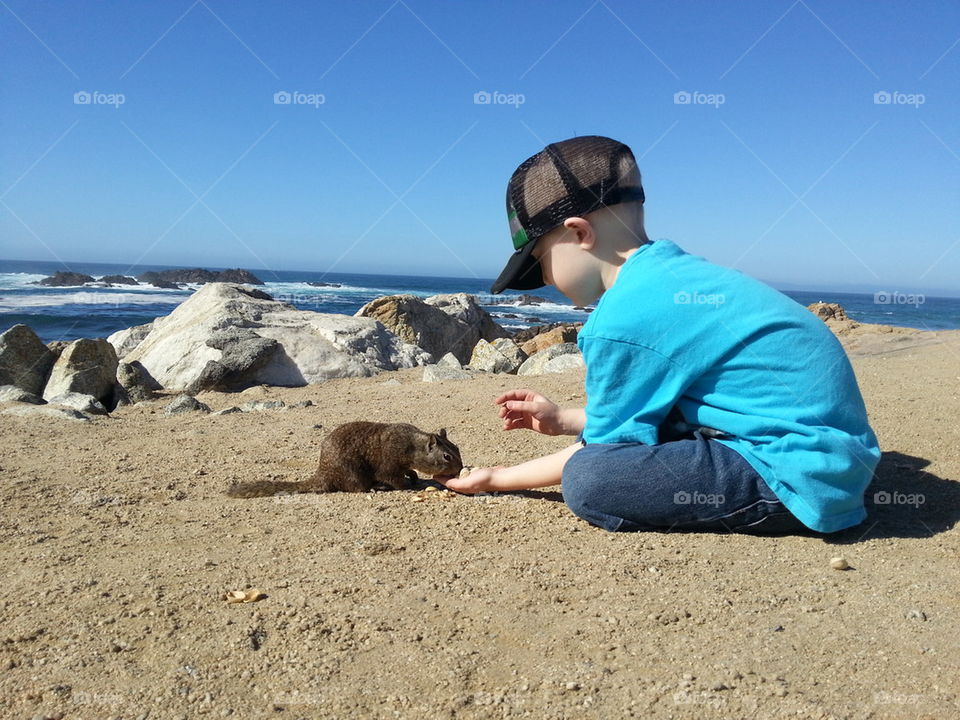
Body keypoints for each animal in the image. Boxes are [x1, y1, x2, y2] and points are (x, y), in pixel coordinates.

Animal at [226, 421, 463, 498]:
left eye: (457, 448)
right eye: (446, 456)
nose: (460, 468)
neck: (412, 445)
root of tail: (322, 474)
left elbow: (408, 471)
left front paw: (413, 476)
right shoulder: (390, 463)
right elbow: (394, 478)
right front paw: (410, 485)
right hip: (353, 473)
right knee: (356, 488)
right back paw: (376, 487)